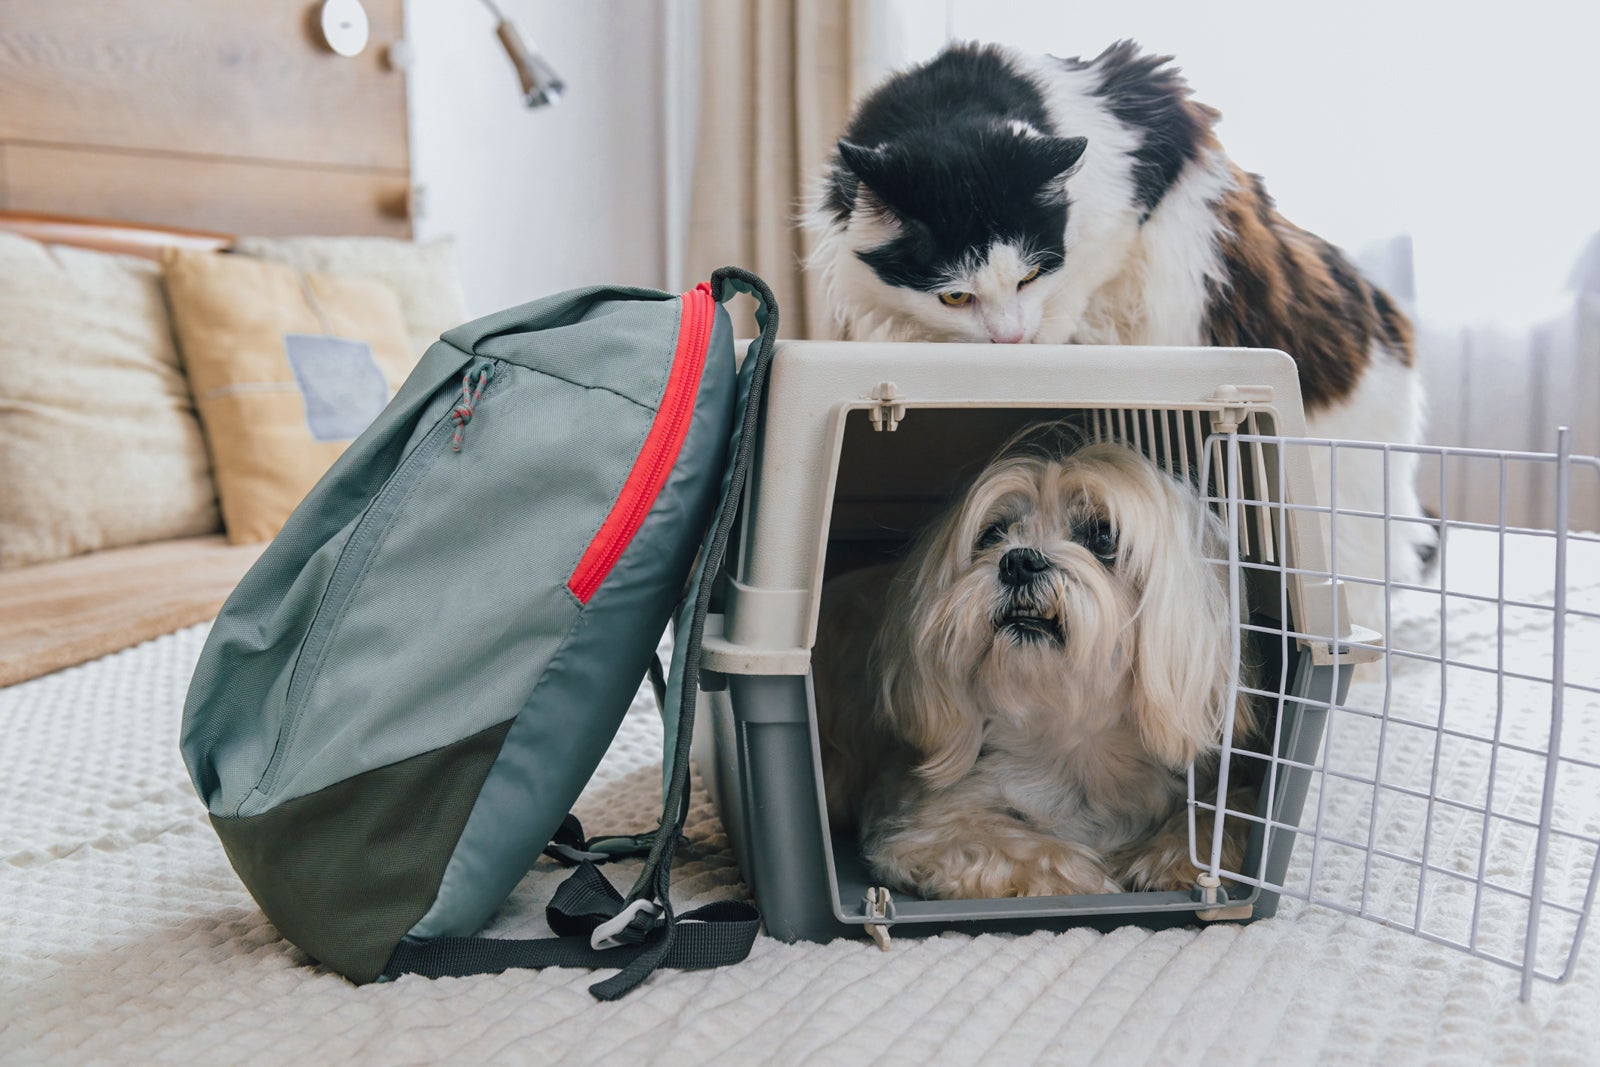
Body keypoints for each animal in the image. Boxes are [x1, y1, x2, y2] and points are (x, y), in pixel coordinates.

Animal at [806, 41, 1433, 630]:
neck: (955, 99)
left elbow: (1077, 284)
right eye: (956, 296)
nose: (1010, 340)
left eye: (1030, 275)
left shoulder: (1122, 215)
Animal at [819, 438, 1254, 895]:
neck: (1071, 737)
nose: (1019, 561)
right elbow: (1011, 842)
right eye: (993, 533)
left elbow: (1225, 813)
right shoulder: (925, 822)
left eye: (1102, 536)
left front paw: (1169, 857)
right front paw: (1086, 878)